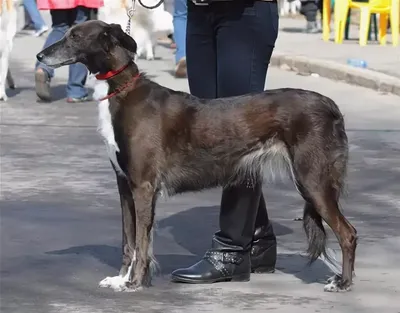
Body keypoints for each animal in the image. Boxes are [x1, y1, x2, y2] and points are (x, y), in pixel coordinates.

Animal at [36, 20, 358, 294]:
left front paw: (136, 282)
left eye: (75, 36)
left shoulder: (143, 186)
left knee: (348, 233)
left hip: (313, 179)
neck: (122, 90)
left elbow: (142, 241)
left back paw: (343, 282)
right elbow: (129, 241)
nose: (40, 55)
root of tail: (331, 105)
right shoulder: (124, 185)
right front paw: (120, 278)